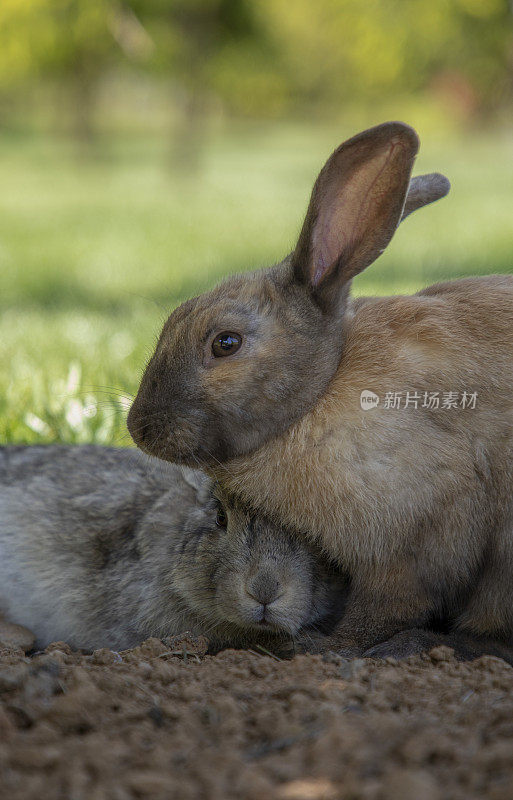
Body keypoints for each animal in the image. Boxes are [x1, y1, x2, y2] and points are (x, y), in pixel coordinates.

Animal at [127, 120, 512, 656]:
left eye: (226, 343)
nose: (137, 428)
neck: (320, 393)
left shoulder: (417, 536)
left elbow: (387, 607)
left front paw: (329, 645)